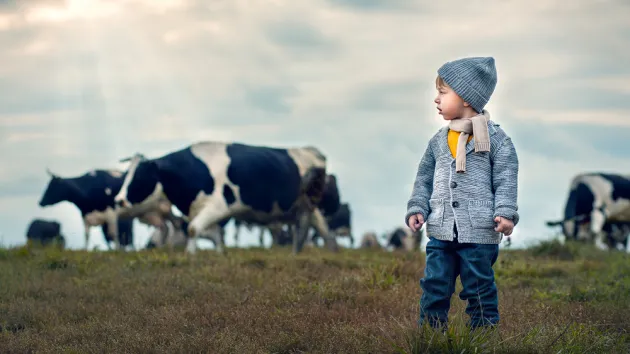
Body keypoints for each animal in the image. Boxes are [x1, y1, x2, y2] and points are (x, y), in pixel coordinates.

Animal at [38, 167, 179, 250]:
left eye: (51, 187)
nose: (40, 202)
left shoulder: (111, 214)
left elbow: (113, 234)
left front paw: (116, 252)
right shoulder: (86, 217)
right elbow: (87, 235)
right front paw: (86, 250)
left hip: (165, 208)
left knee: (175, 224)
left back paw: (169, 247)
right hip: (152, 213)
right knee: (165, 227)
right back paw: (162, 247)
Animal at [113, 141, 340, 254]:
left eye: (139, 175)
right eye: (126, 173)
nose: (118, 200)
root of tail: (312, 152)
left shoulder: (218, 207)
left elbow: (193, 229)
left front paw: (190, 256)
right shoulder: (201, 209)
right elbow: (214, 236)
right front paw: (219, 255)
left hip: (309, 204)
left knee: (315, 228)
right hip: (301, 207)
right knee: (317, 230)